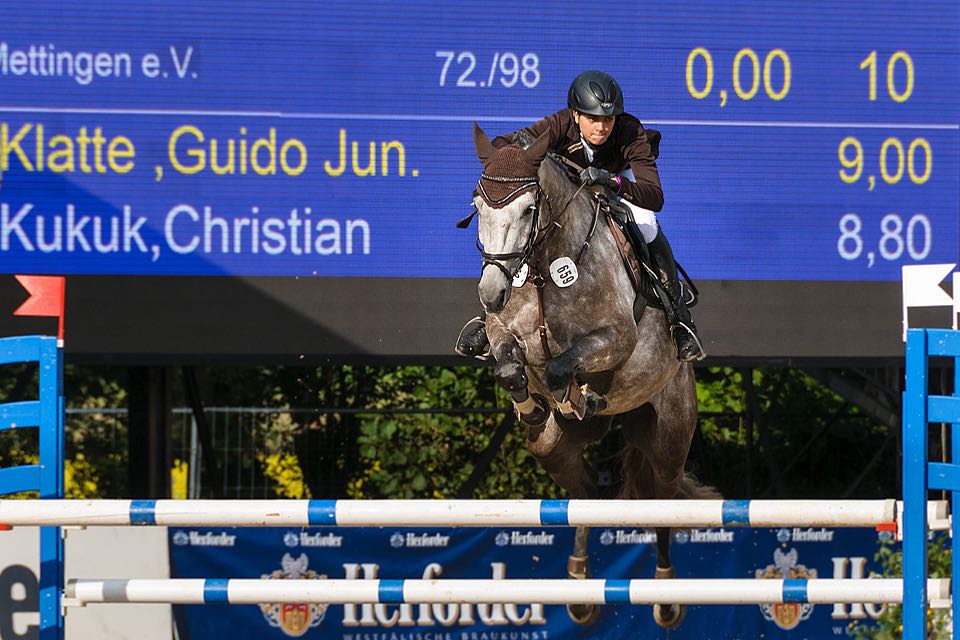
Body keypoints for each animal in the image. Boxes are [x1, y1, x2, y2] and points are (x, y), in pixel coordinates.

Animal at [468, 122, 716, 628]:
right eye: (478, 207)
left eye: (528, 210)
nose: (491, 292)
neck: (544, 269)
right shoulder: (504, 332)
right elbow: (510, 364)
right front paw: (533, 405)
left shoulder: (617, 339)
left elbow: (564, 364)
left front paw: (575, 393)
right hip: (553, 452)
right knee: (583, 494)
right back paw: (580, 585)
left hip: (670, 435)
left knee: (663, 500)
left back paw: (665, 596)